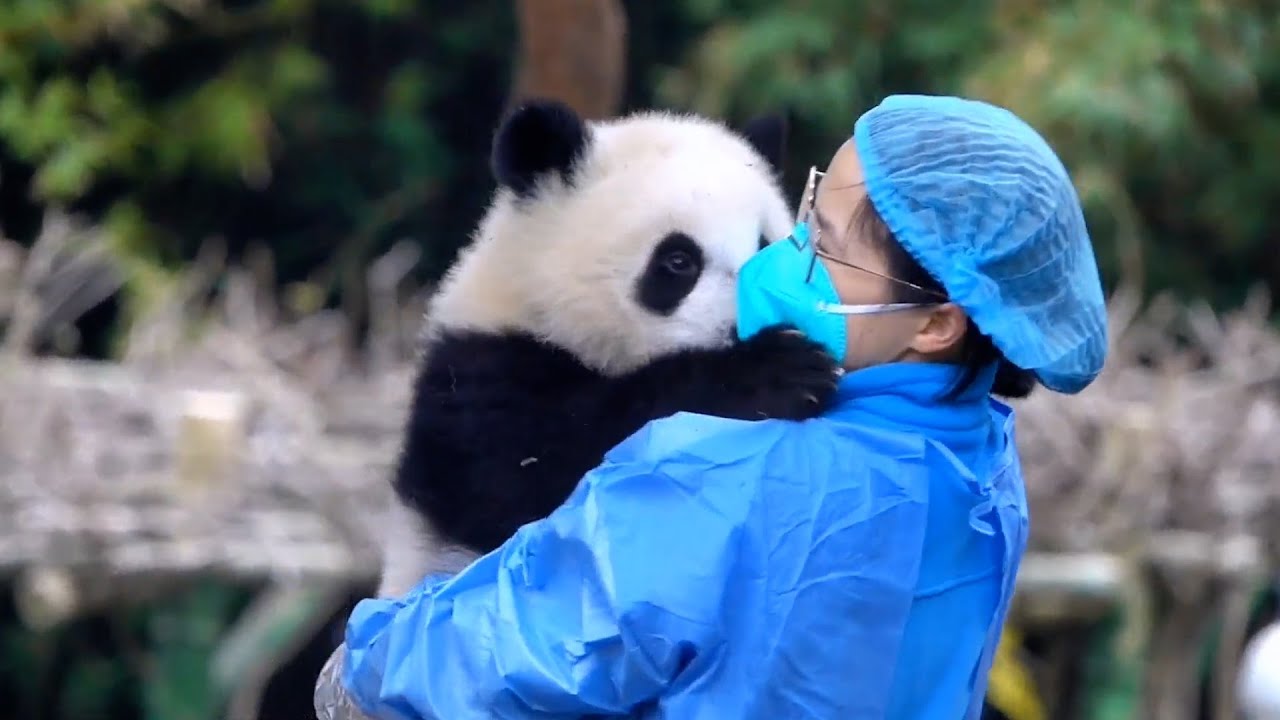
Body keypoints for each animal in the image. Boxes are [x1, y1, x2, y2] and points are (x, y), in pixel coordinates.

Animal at [377, 98, 842, 598]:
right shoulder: (479, 386)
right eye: (678, 260)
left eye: (765, 246)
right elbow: (542, 473)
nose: (751, 325)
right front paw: (776, 372)